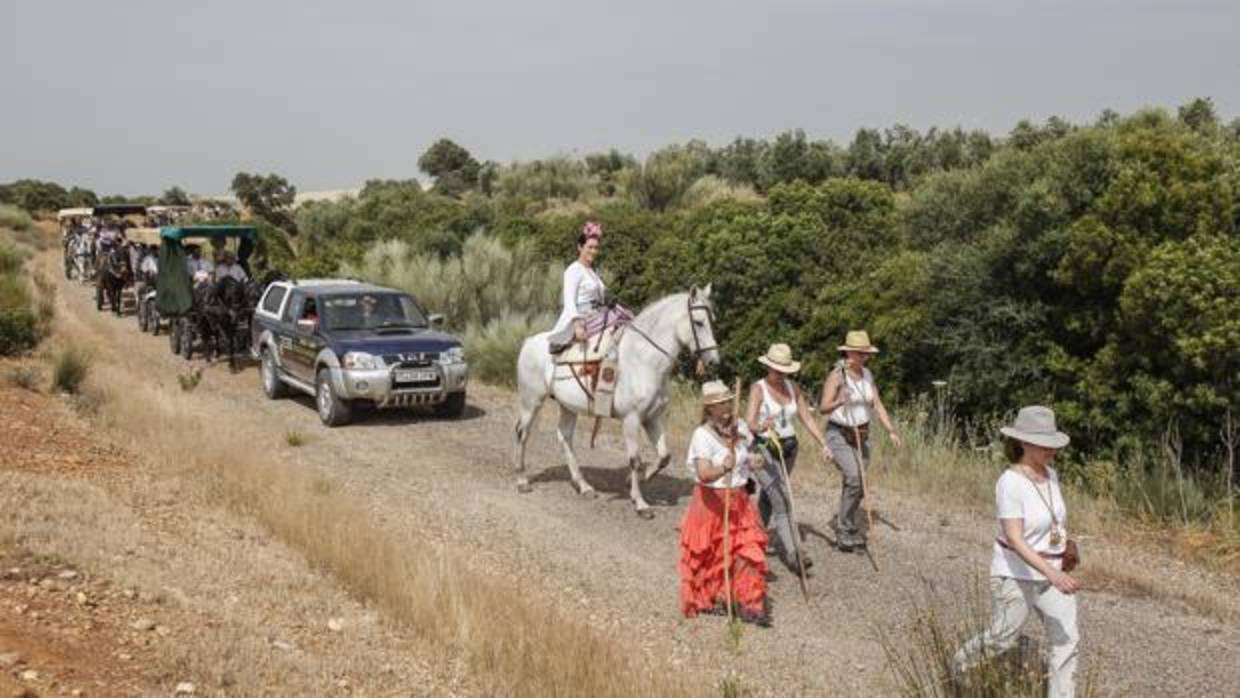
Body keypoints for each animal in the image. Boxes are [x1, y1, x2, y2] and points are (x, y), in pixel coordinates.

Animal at [515, 283, 724, 518]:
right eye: (698, 322)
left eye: (712, 320)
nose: (714, 361)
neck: (644, 360)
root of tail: (529, 341)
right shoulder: (631, 419)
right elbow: (634, 459)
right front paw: (640, 503)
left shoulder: (652, 418)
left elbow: (664, 456)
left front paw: (640, 478)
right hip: (531, 401)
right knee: (523, 433)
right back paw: (522, 481)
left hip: (567, 407)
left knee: (565, 437)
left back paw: (584, 486)